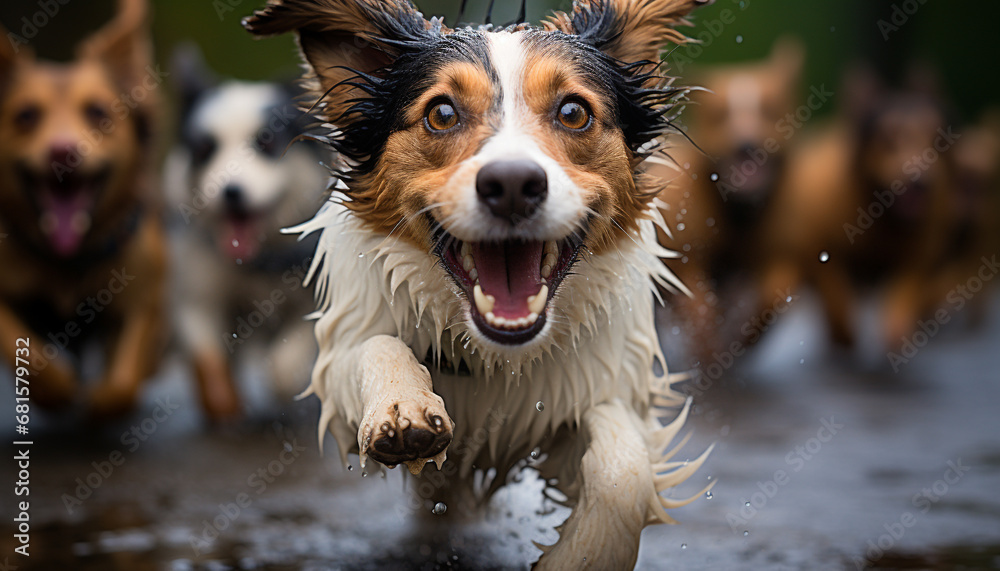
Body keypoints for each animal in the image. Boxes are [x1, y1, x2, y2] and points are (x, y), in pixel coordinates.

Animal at [0, 0, 166, 420]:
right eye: (26, 115)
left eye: (97, 112)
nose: (63, 152)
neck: (67, 259)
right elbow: (18, 344)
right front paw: (55, 389)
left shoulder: (144, 291)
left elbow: (123, 382)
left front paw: (101, 402)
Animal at [164, 44, 328, 420]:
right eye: (204, 148)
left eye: (266, 144)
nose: (231, 192)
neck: (257, 259)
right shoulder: (198, 292)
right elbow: (207, 357)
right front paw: (224, 405)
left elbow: (287, 362)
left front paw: (286, 388)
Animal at [246, 0, 716, 568]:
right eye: (442, 113)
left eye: (573, 112)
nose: (512, 184)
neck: (497, 356)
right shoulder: (343, 361)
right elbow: (375, 346)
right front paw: (401, 406)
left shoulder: (597, 386)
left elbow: (622, 466)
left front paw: (581, 554)